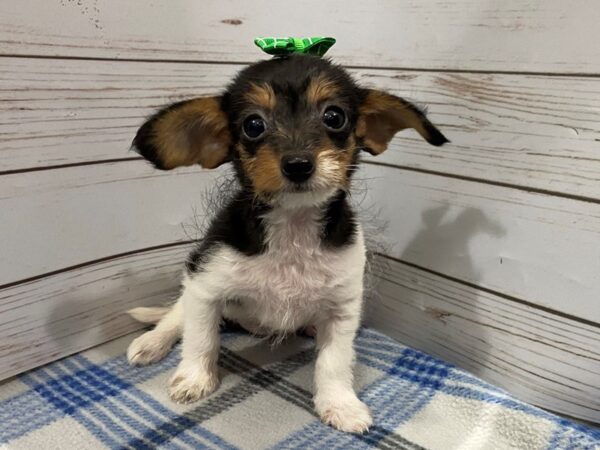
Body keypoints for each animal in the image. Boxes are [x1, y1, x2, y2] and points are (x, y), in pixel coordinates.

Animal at [126, 53, 446, 432]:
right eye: (253, 125)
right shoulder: (205, 284)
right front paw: (194, 379)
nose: (297, 164)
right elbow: (200, 339)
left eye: (334, 116)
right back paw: (152, 342)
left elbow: (334, 362)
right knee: (176, 315)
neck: (293, 228)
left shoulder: (342, 309)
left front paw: (341, 405)